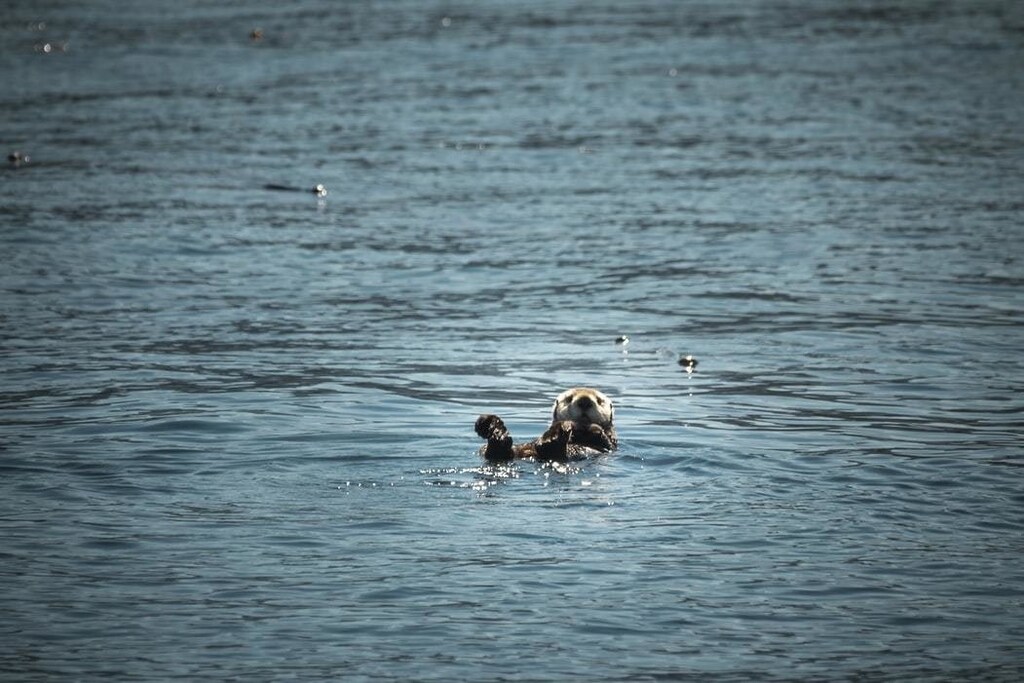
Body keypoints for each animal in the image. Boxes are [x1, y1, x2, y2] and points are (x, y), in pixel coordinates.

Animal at [475, 387, 618, 462]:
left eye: (599, 401)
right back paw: (492, 426)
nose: (584, 401)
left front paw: (592, 428)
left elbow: (603, 438)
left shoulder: (610, 442)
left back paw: (554, 435)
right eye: (569, 399)